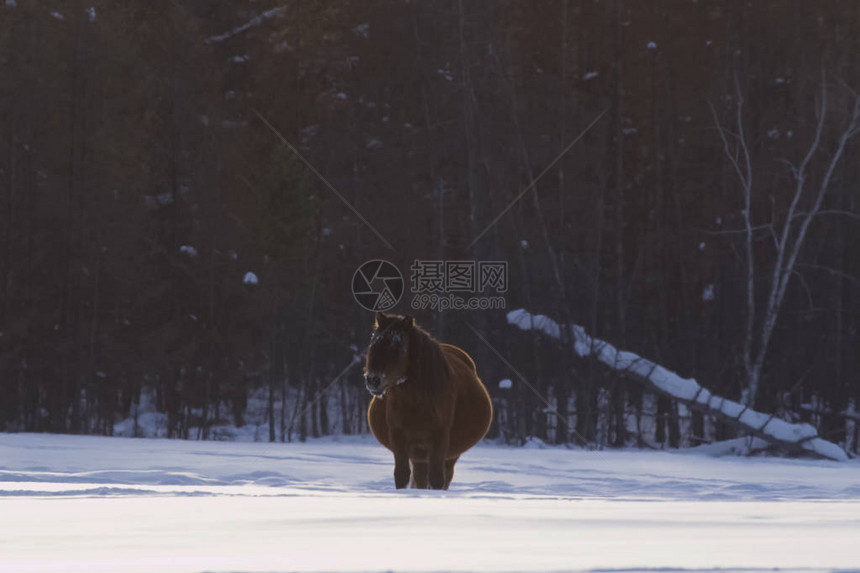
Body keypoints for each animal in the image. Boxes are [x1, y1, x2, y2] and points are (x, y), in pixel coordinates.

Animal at [364, 310, 494, 490]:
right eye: (373, 345)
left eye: (398, 347)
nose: (373, 380)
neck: (415, 403)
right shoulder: (398, 437)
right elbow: (401, 474)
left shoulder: (440, 438)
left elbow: (437, 478)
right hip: (419, 455)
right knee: (420, 477)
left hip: (449, 455)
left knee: (445, 476)